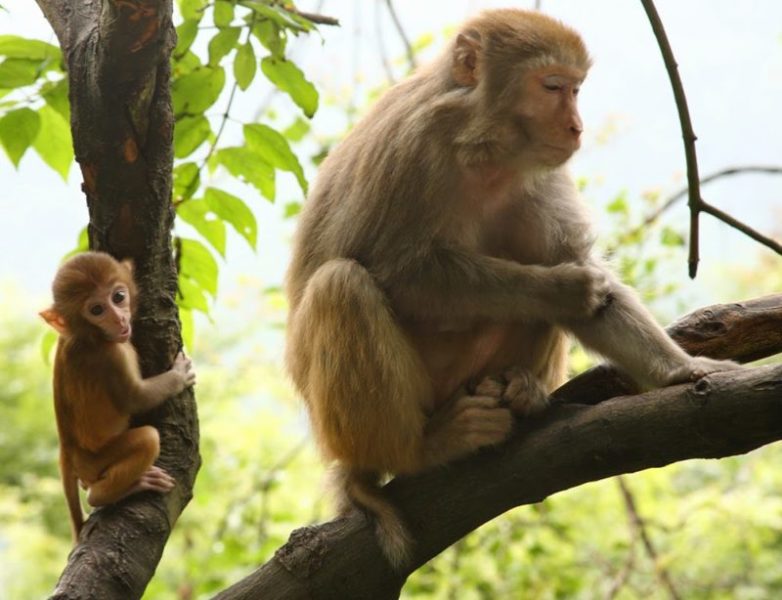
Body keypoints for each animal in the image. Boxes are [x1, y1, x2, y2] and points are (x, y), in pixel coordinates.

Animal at [41, 251, 198, 540]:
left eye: (118, 297)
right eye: (96, 310)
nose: (119, 320)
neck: (87, 335)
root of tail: (67, 454)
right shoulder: (113, 356)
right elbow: (135, 398)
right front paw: (179, 376)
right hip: (95, 461)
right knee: (147, 439)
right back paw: (117, 490)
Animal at [284, 7, 740, 568]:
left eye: (575, 89)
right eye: (552, 86)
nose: (576, 126)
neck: (484, 151)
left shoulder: (544, 170)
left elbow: (588, 284)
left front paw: (683, 370)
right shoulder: (413, 144)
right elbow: (396, 270)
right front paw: (561, 288)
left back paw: (522, 390)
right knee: (342, 283)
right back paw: (420, 450)